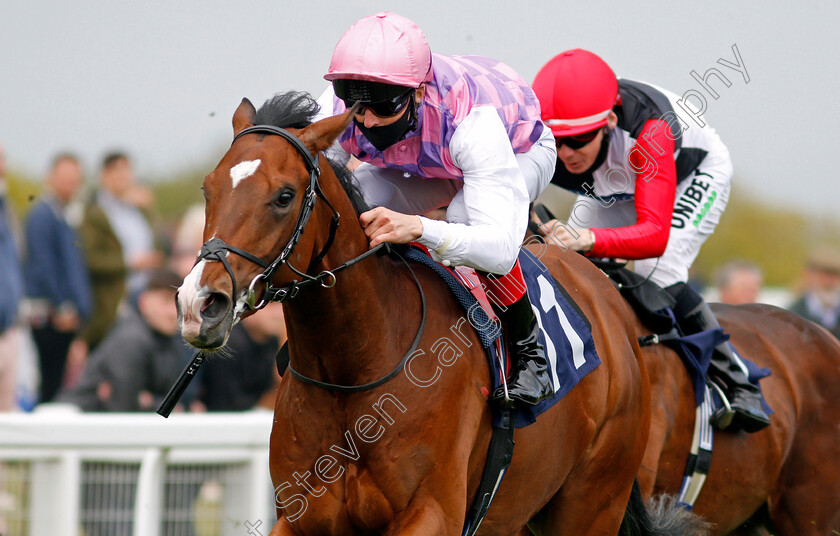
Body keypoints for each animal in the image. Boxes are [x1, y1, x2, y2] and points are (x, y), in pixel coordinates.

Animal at [179, 93, 708, 536]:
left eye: (285, 196)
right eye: (207, 189)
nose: (198, 304)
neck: (355, 371)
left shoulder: (431, 514)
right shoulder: (300, 518)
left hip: (593, 501)